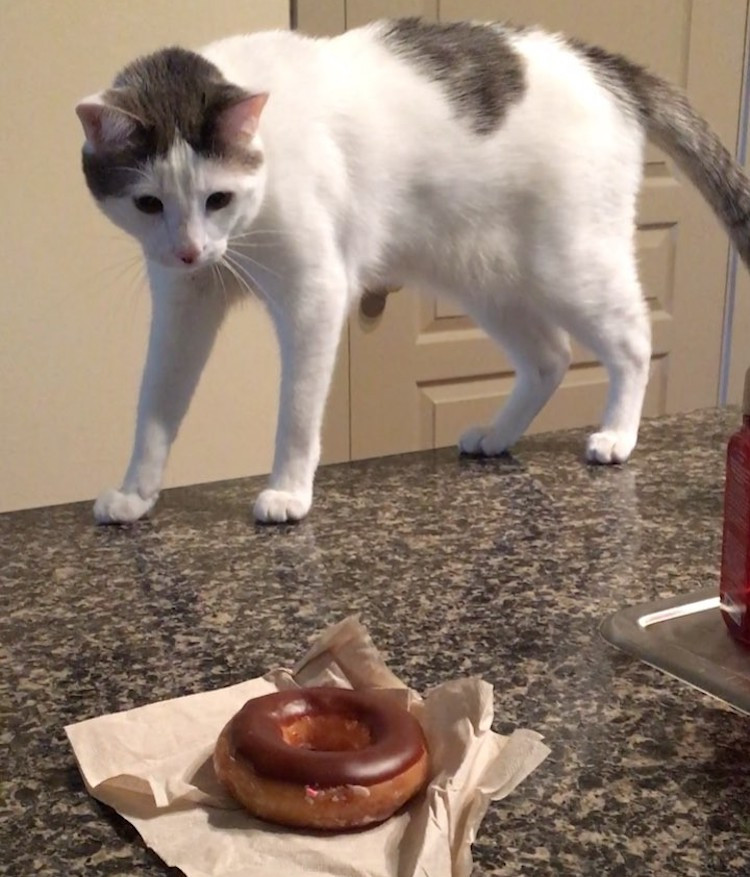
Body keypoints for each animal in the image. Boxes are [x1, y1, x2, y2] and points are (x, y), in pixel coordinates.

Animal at [76, 17, 750, 520]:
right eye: (148, 203)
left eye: (218, 198)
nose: (190, 250)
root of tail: (604, 66)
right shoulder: (182, 307)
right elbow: (155, 405)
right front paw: (135, 493)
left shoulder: (315, 294)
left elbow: (297, 408)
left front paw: (288, 490)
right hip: (485, 278)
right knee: (550, 357)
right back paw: (498, 435)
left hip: (570, 264)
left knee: (633, 340)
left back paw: (618, 434)